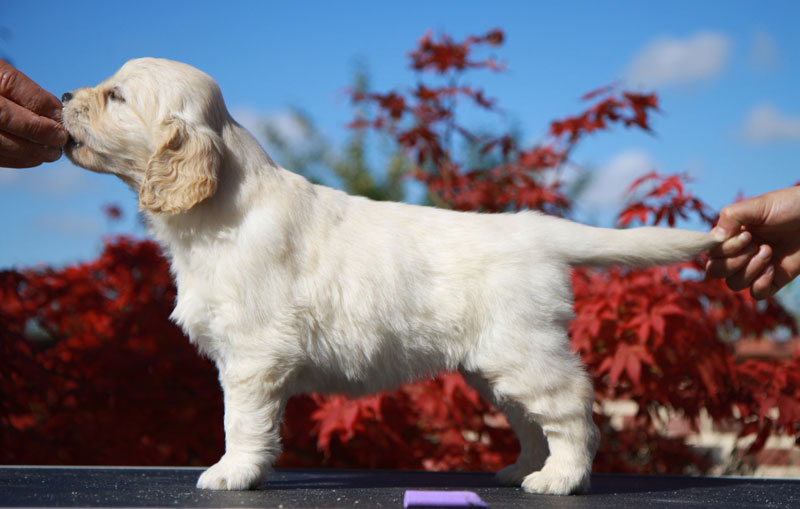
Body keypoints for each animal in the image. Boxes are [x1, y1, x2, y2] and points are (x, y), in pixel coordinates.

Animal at [62, 58, 718, 495]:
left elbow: (240, 421)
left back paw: (559, 478)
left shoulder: (253, 356)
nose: (64, 92)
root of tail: (532, 228)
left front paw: (231, 473)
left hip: (523, 350)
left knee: (572, 406)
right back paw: (521, 469)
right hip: (493, 366)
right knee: (530, 418)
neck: (217, 208)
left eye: (115, 96)